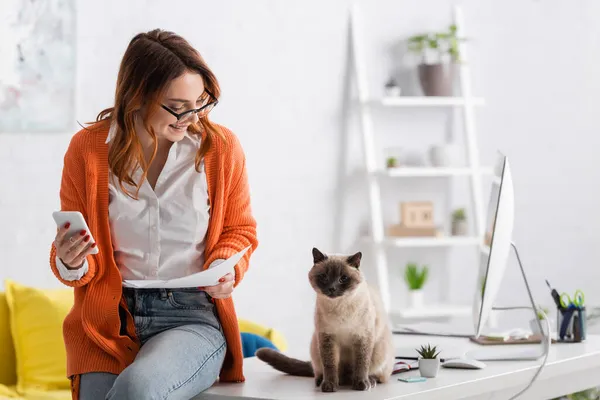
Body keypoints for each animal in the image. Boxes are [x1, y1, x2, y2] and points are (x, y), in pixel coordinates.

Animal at [255, 248, 396, 392]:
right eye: (324, 277)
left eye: (343, 278)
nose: (332, 288)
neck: (339, 308)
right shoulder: (327, 337)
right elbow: (330, 365)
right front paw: (329, 386)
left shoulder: (362, 337)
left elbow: (362, 364)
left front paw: (360, 385)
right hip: (315, 345)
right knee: (320, 371)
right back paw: (322, 381)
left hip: (380, 351)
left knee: (376, 375)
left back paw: (369, 381)